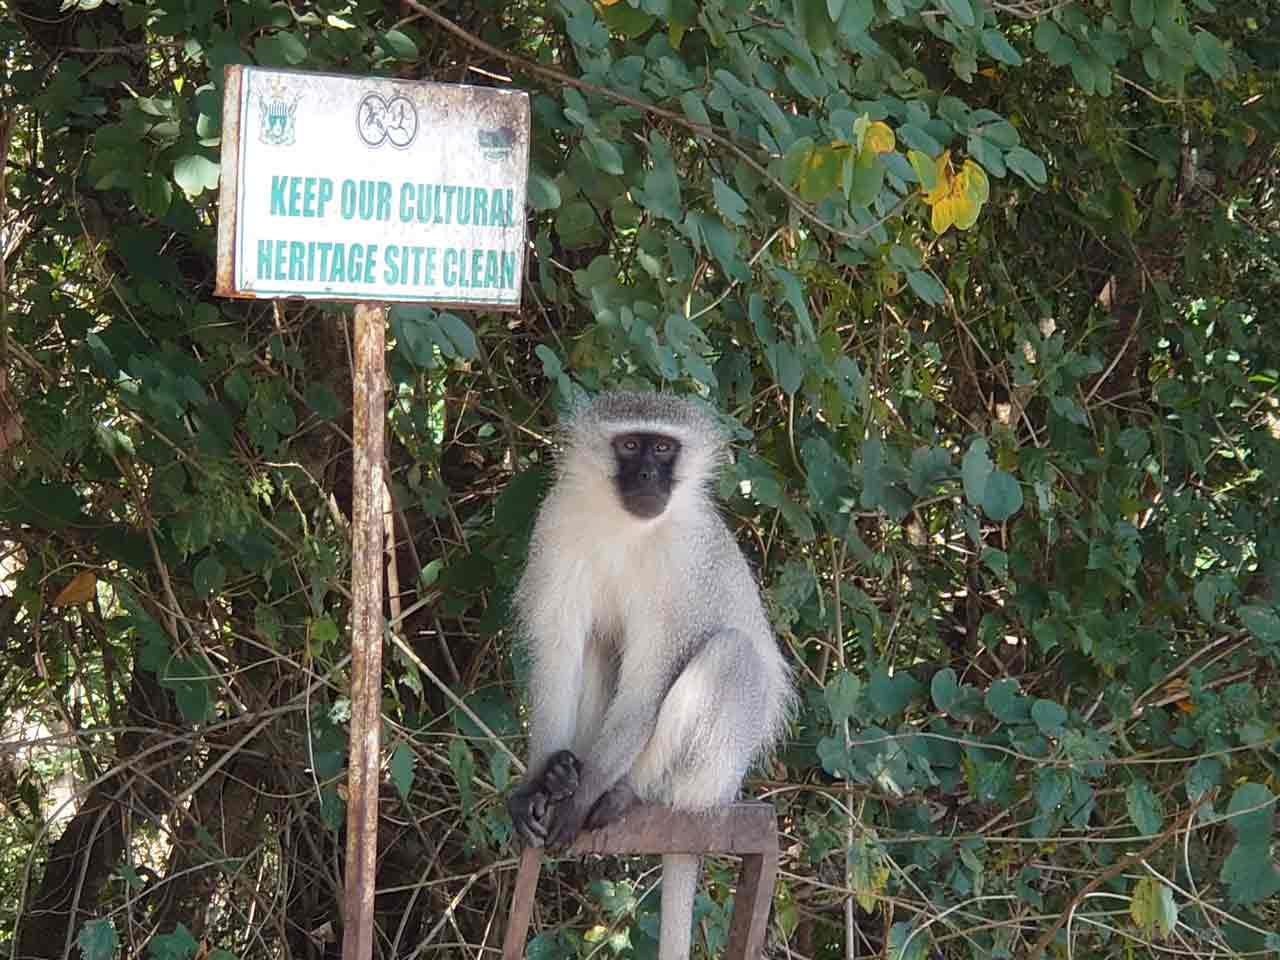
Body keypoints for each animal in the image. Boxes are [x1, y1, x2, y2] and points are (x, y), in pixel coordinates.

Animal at [507, 391, 793, 960]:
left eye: (663, 448)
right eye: (630, 445)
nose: (646, 476)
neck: (627, 529)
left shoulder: (686, 566)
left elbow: (650, 684)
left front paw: (583, 795)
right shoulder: (556, 525)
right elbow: (557, 653)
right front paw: (535, 784)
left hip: (715, 775)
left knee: (731, 655)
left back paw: (627, 792)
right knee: (600, 644)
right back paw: (562, 774)